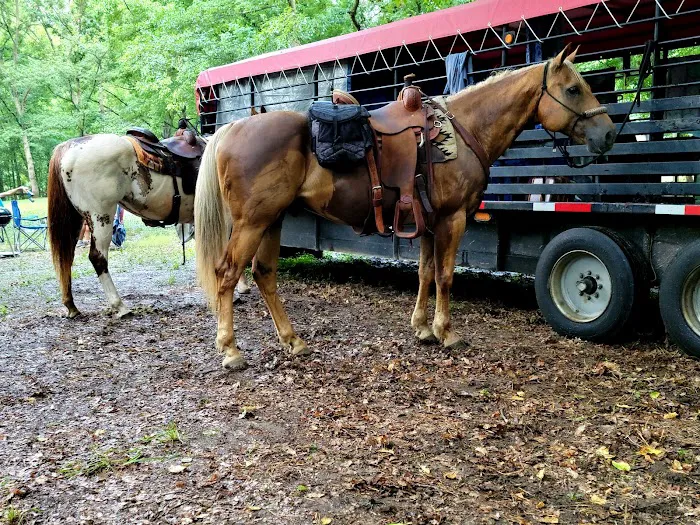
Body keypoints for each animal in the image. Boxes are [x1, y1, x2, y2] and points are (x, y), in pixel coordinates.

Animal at [47, 129, 250, 319]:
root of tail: (70, 146)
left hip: (78, 219)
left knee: (67, 257)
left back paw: (71, 306)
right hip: (100, 216)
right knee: (98, 257)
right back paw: (120, 306)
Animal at [194, 44, 616, 370]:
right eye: (573, 89)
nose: (610, 134)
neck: (463, 130)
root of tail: (230, 129)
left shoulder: (428, 222)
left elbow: (426, 273)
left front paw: (423, 328)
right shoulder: (452, 219)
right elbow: (445, 276)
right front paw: (447, 332)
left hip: (272, 220)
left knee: (264, 274)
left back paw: (293, 340)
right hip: (252, 222)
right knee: (228, 274)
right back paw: (231, 350)